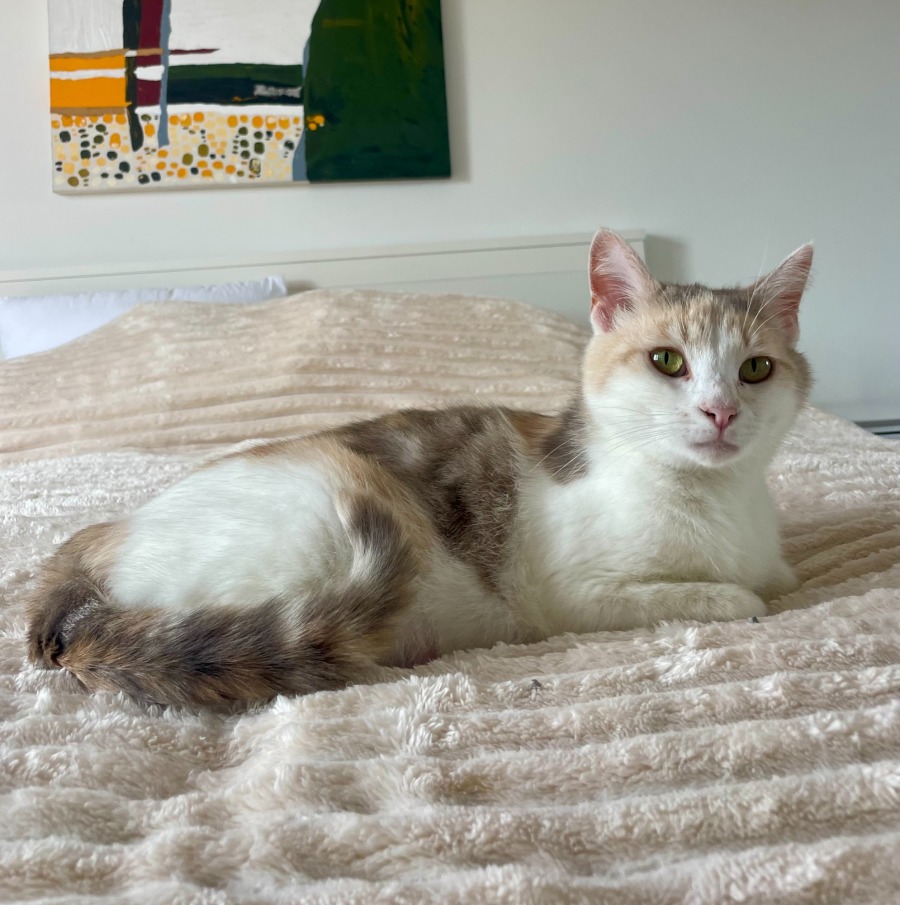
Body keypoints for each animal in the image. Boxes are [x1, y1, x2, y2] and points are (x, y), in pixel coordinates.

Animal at [26, 229, 813, 709]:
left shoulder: (776, 562)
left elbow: (778, 579)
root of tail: (102, 540)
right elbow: (733, 596)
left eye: (755, 369)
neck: (710, 502)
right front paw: (730, 594)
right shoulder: (575, 596)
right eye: (667, 361)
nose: (720, 411)